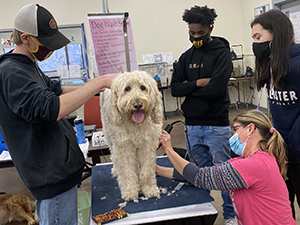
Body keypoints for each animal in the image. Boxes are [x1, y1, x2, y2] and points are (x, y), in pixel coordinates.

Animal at [99, 71, 163, 202]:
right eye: (127, 88)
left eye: (143, 87)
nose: (137, 104)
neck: (135, 125)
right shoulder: (123, 148)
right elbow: (127, 172)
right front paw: (130, 191)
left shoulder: (147, 147)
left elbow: (147, 171)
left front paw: (149, 189)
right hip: (109, 135)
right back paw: (115, 170)